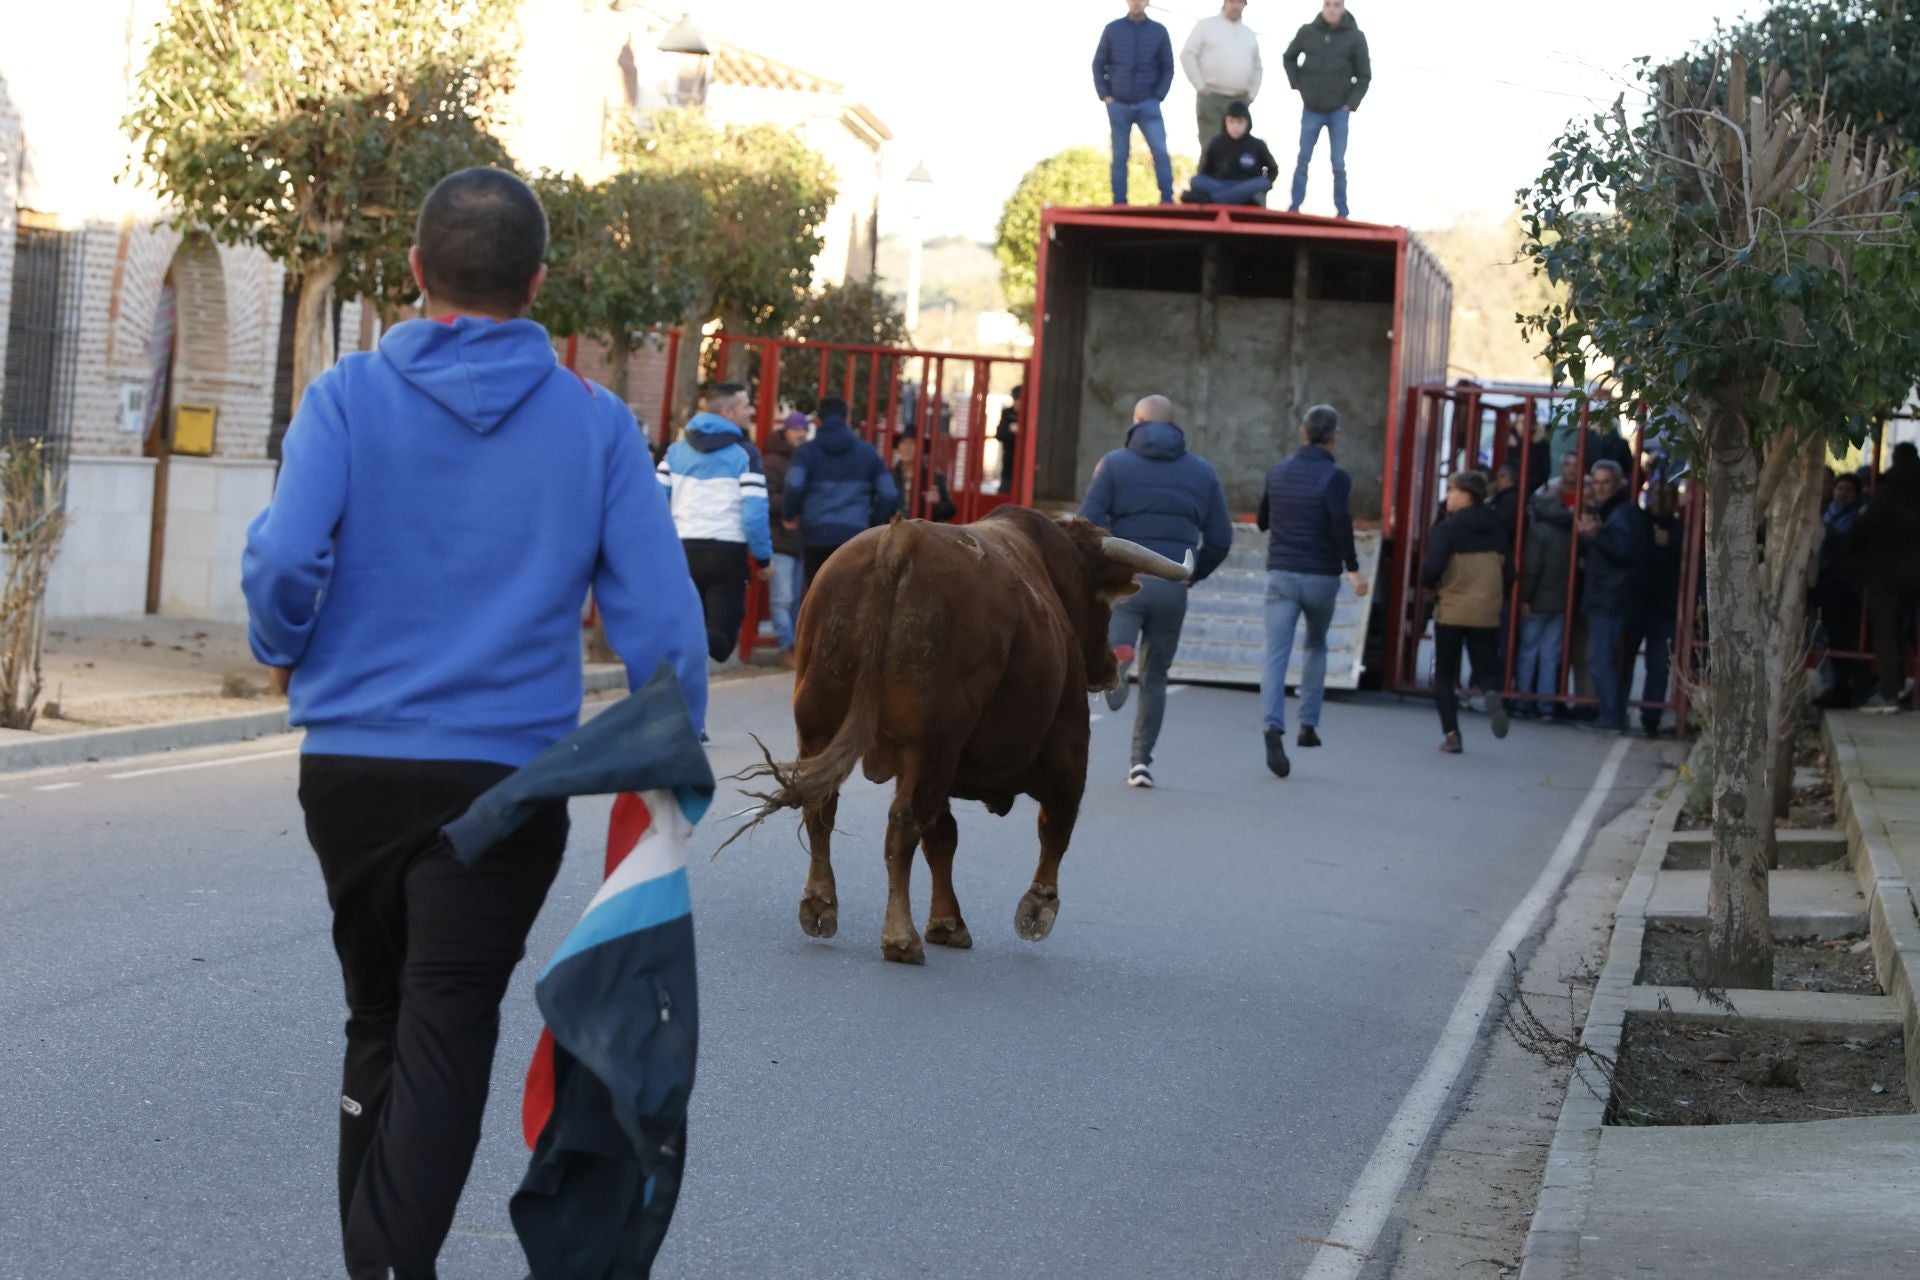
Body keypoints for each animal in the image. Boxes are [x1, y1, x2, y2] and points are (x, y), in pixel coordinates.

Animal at [729, 506, 1182, 967]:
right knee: (903, 825)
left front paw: (947, 922)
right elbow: (1055, 827)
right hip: (932, 745)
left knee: (824, 809)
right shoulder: (1067, 746)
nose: (1109, 668)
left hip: (822, 727)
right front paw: (1037, 907)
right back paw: (900, 936)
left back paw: (821, 906)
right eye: (1101, 602)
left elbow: (943, 839)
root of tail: (900, 541)